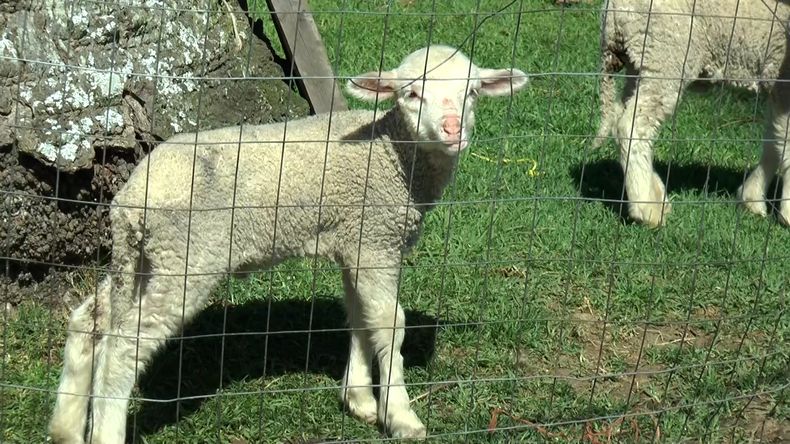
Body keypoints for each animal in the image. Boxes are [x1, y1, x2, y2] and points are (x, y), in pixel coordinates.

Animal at [47, 44, 528, 443]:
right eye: (411, 94)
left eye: (471, 93)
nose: (452, 129)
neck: (393, 150)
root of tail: (130, 201)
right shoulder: (376, 240)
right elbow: (390, 323)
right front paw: (400, 416)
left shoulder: (354, 240)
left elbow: (360, 318)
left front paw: (360, 399)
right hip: (186, 259)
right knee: (122, 349)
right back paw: (104, 430)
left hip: (143, 260)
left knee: (90, 320)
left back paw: (67, 428)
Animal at [593, 0, 790, 227]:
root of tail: (613, 10)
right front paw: (786, 213)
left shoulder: (779, 86)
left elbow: (774, 142)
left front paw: (752, 199)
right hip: (666, 57)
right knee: (632, 126)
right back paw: (648, 209)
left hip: (641, 63)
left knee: (622, 116)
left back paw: (656, 195)